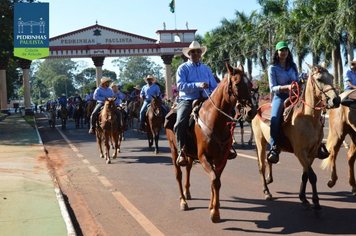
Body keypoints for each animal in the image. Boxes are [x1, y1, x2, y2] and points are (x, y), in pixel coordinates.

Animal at [165, 62, 258, 221]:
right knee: (178, 174)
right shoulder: (204, 157)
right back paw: (183, 201)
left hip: (190, 154)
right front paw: (215, 212)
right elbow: (214, 179)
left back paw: (187, 193)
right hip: (174, 149)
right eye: (237, 84)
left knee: (188, 168)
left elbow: (217, 181)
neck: (214, 120)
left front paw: (214, 206)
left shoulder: (221, 157)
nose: (251, 111)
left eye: (250, 84)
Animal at [252, 64, 340, 208]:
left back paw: (270, 177)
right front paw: (316, 201)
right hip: (260, 142)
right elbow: (312, 176)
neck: (309, 118)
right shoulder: (300, 152)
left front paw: (303, 197)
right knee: (261, 166)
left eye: (332, 77)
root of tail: (259, 107)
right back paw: (266, 191)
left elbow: (306, 175)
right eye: (319, 79)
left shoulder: (312, 153)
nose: (336, 100)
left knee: (269, 159)